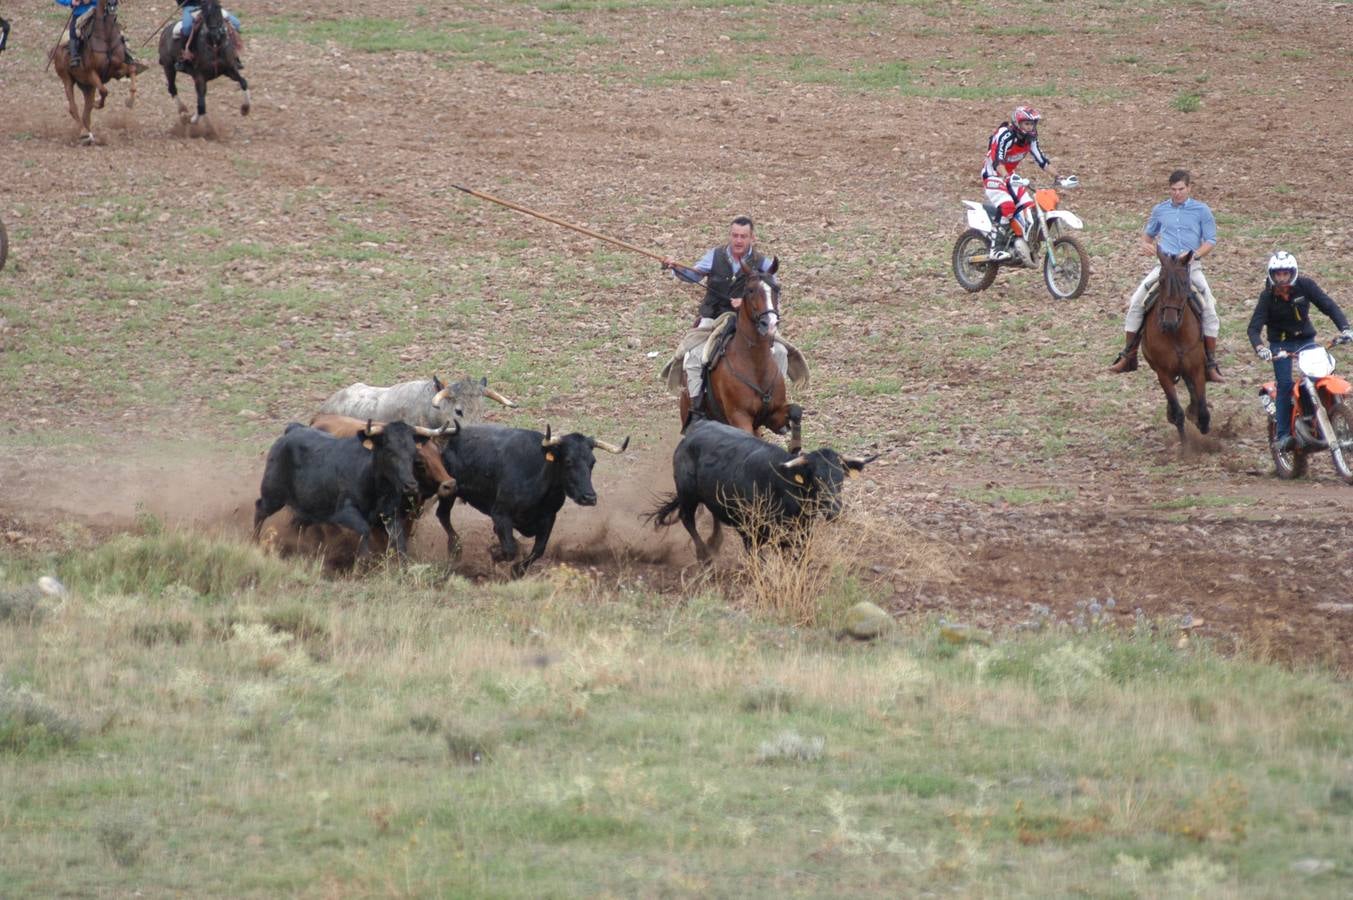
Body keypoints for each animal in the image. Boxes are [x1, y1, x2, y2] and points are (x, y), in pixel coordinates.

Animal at [51, 0, 148, 142]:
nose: (112, 5)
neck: (106, 37)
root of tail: (56, 49)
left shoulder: (116, 70)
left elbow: (132, 69)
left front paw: (130, 101)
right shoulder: (91, 73)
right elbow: (104, 91)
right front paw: (97, 104)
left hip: (87, 86)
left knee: (86, 115)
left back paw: (90, 136)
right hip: (67, 80)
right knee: (73, 107)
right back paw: (82, 132)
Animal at [438, 422, 633, 576]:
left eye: (592, 462)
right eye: (568, 461)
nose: (589, 497)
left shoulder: (549, 518)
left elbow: (538, 550)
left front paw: (517, 570)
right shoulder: (500, 514)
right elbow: (510, 549)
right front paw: (495, 554)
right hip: (448, 491)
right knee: (443, 515)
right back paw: (455, 548)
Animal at [646, 416, 876, 557]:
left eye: (840, 478)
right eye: (816, 478)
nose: (835, 512)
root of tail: (695, 430)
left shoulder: (799, 534)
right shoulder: (749, 532)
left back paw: (714, 542)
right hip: (687, 494)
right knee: (687, 520)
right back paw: (705, 555)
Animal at [681, 263, 795, 452]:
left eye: (777, 289)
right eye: (750, 290)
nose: (770, 324)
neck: (755, 366)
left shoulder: (775, 414)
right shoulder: (739, 417)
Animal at [1136, 247, 1212, 443]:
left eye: (1184, 282)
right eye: (1161, 281)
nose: (1169, 323)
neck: (1176, 334)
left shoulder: (1197, 368)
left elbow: (1202, 408)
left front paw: (1202, 424)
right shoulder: (1163, 373)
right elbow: (1177, 412)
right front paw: (1185, 445)